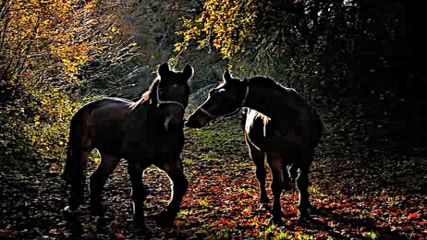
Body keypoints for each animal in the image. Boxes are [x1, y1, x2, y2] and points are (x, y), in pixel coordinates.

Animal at [62, 62, 194, 228]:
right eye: (162, 91)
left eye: (186, 92)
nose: (174, 124)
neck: (156, 130)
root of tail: (83, 110)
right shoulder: (135, 164)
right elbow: (138, 193)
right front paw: (139, 223)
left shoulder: (169, 161)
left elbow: (180, 185)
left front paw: (165, 218)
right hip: (81, 150)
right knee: (77, 176)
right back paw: (72, 207)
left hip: (110, 156)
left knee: (96, 180)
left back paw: (98, 212)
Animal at [186, 70, 322, 224]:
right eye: (211, 93)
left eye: (221, 95)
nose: (191, 120)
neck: (288, 115)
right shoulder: (274, 155)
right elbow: (276, 185)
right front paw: (276, 215)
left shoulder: (307, 153)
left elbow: (302, 182)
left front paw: (304, 210)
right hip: (255, 150)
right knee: (261, 175)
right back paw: (264, 199)